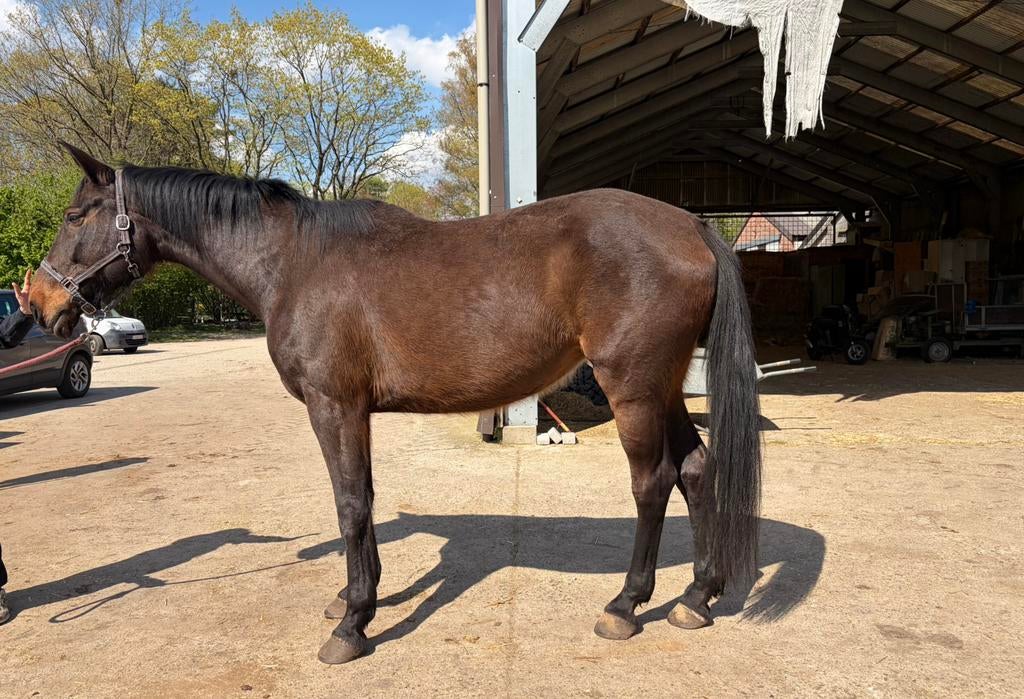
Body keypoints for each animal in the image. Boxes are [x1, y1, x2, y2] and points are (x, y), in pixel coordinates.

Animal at [30, 143, 762, 664]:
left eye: (74, 216)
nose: (38, 301)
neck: (295, 262)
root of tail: (690, 226)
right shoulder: (355, 412)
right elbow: (365, 499)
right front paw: (356, 598)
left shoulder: (334, 406)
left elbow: (351, 503)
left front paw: (354, 622)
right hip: (664, 387)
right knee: (696, 470)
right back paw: (697, 596)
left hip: (633, 386)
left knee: (653, 482)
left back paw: (625, 605)